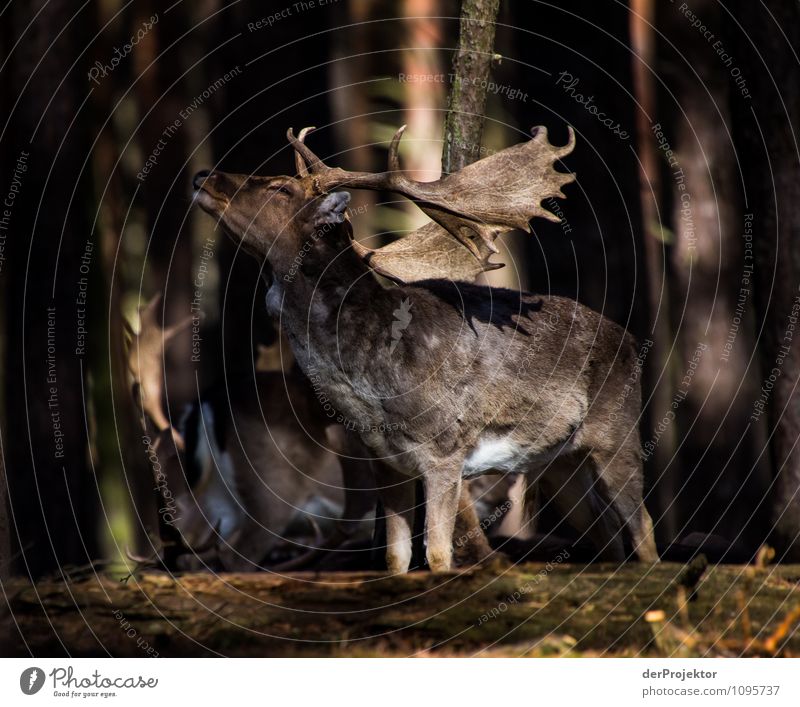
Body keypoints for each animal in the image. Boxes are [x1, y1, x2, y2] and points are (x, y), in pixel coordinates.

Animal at [194, 124, 656, 572]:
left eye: (280, 189)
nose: (203, 176)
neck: (374, 389)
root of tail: (633, 339)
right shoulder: (385, 463)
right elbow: (395, 560)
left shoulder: (444, 451)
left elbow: (436, 554)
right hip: (561, 462)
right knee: (608, 538)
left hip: (617, 434)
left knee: (644, 527)